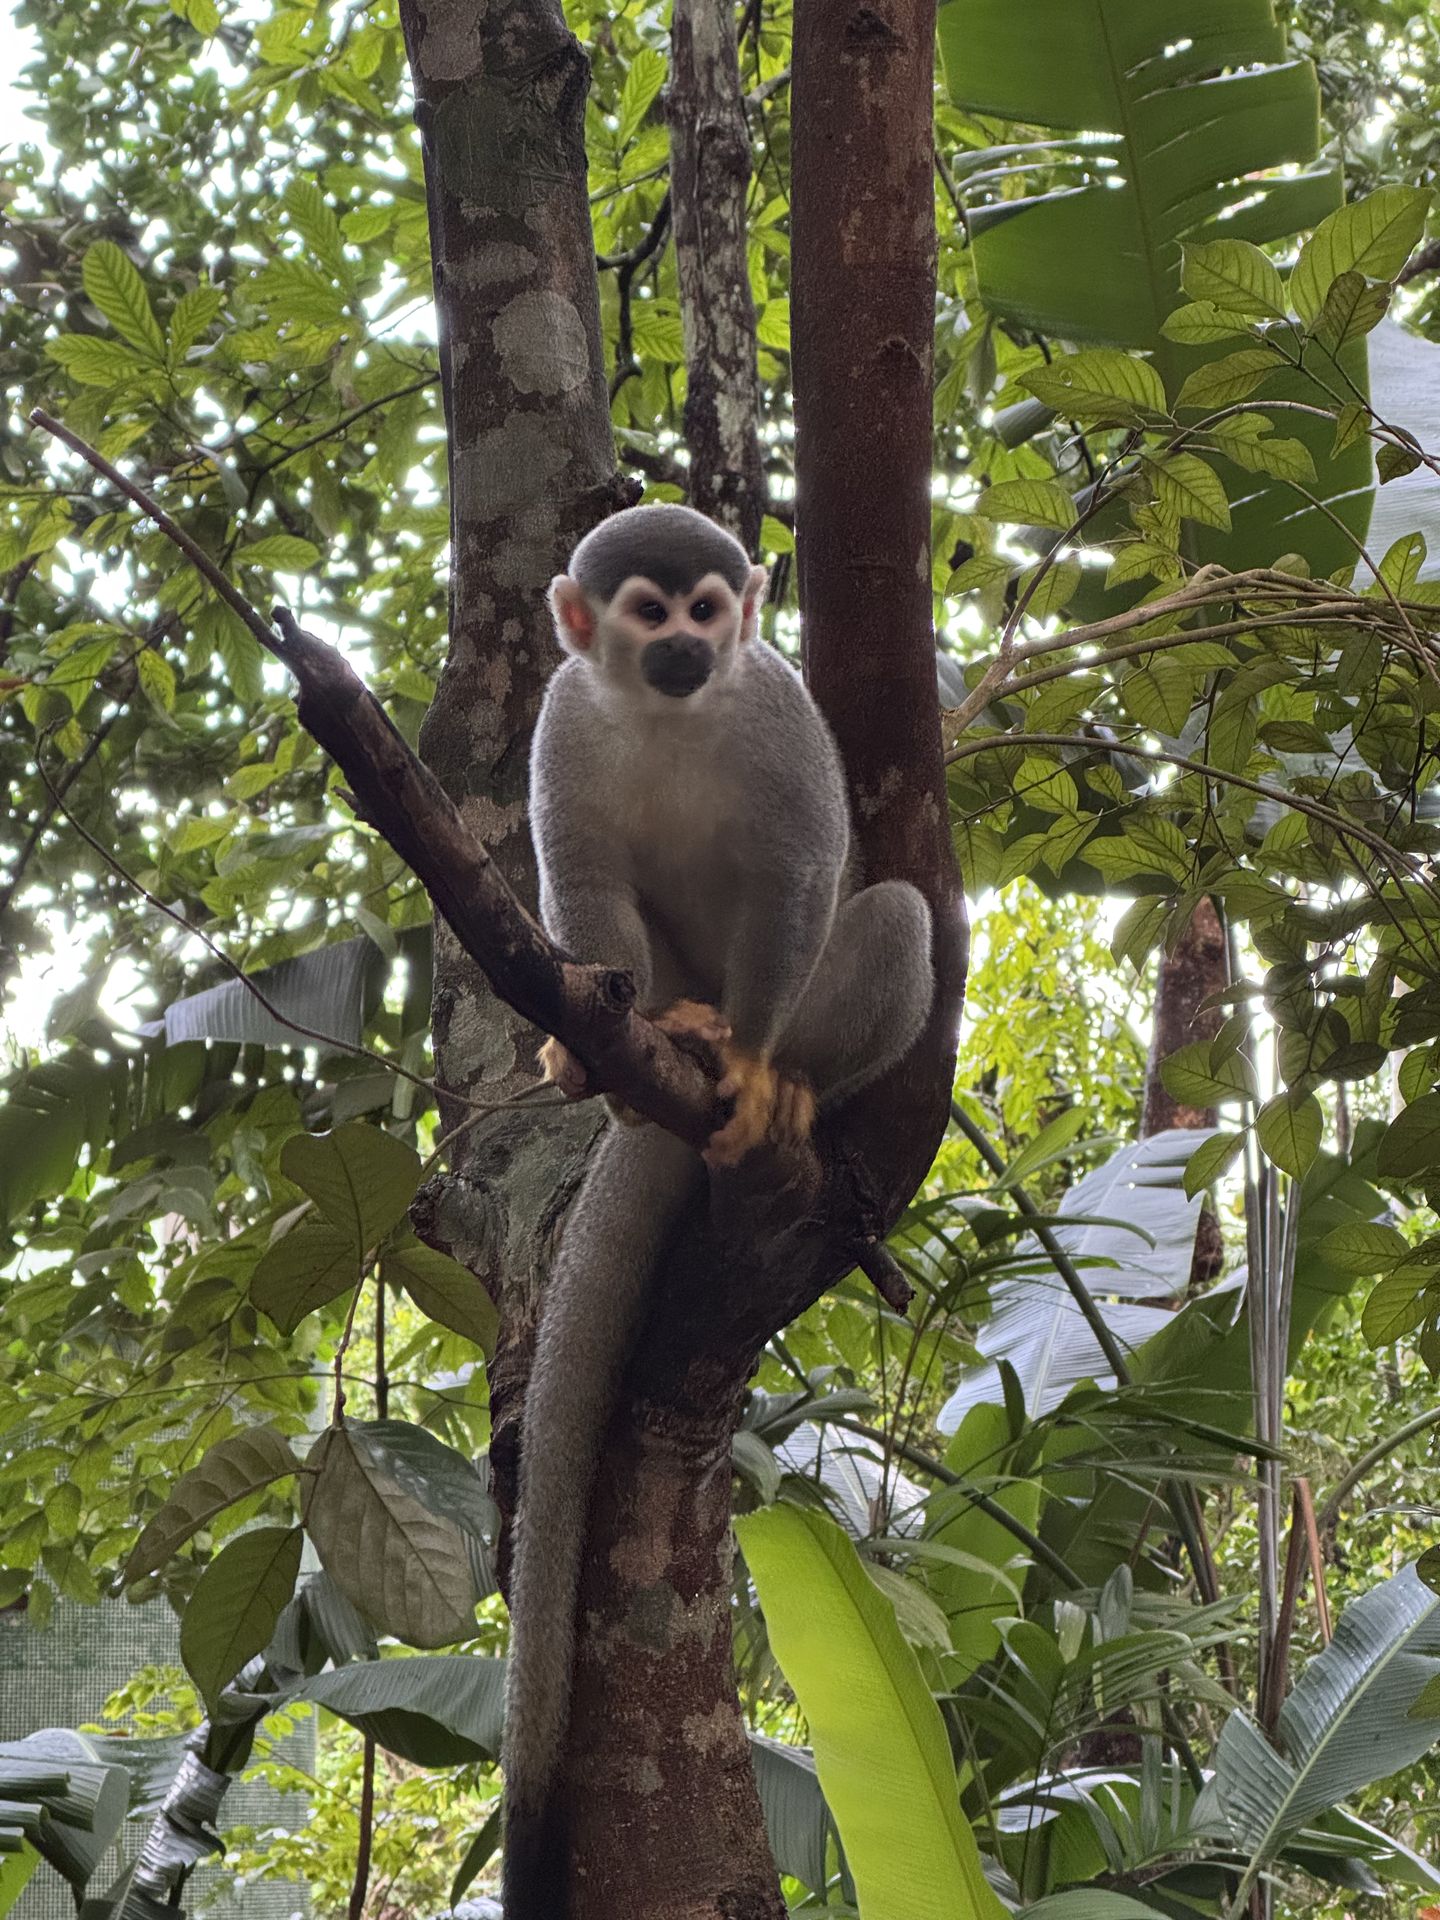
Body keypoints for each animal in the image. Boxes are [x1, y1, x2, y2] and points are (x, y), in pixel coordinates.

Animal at [501, 502, 935, 1915]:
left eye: (708, 611)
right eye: (648, 614)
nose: (691, 648)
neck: (673, 716)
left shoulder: (775, 709)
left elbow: (800, 872)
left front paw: (747, 1062)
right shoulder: (563, 719)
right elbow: (579, 877)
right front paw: (590, 1033)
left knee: (892, 915)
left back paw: (771, 1080)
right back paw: (641, 1055)